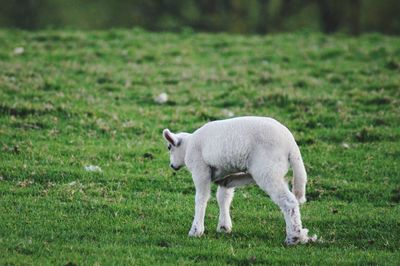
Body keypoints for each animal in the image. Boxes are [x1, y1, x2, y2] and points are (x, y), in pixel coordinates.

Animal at [162, 116, 316, 245]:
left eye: (169, 147)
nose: (172, 166)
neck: (188, 146)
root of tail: (292, 145)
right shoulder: (226, 173)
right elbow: (223, 197)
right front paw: (224, 226)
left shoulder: (200, 169)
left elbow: (201, 198)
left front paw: (196, 230)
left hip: (267, 170)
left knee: (288, 201)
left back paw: (294, 237)